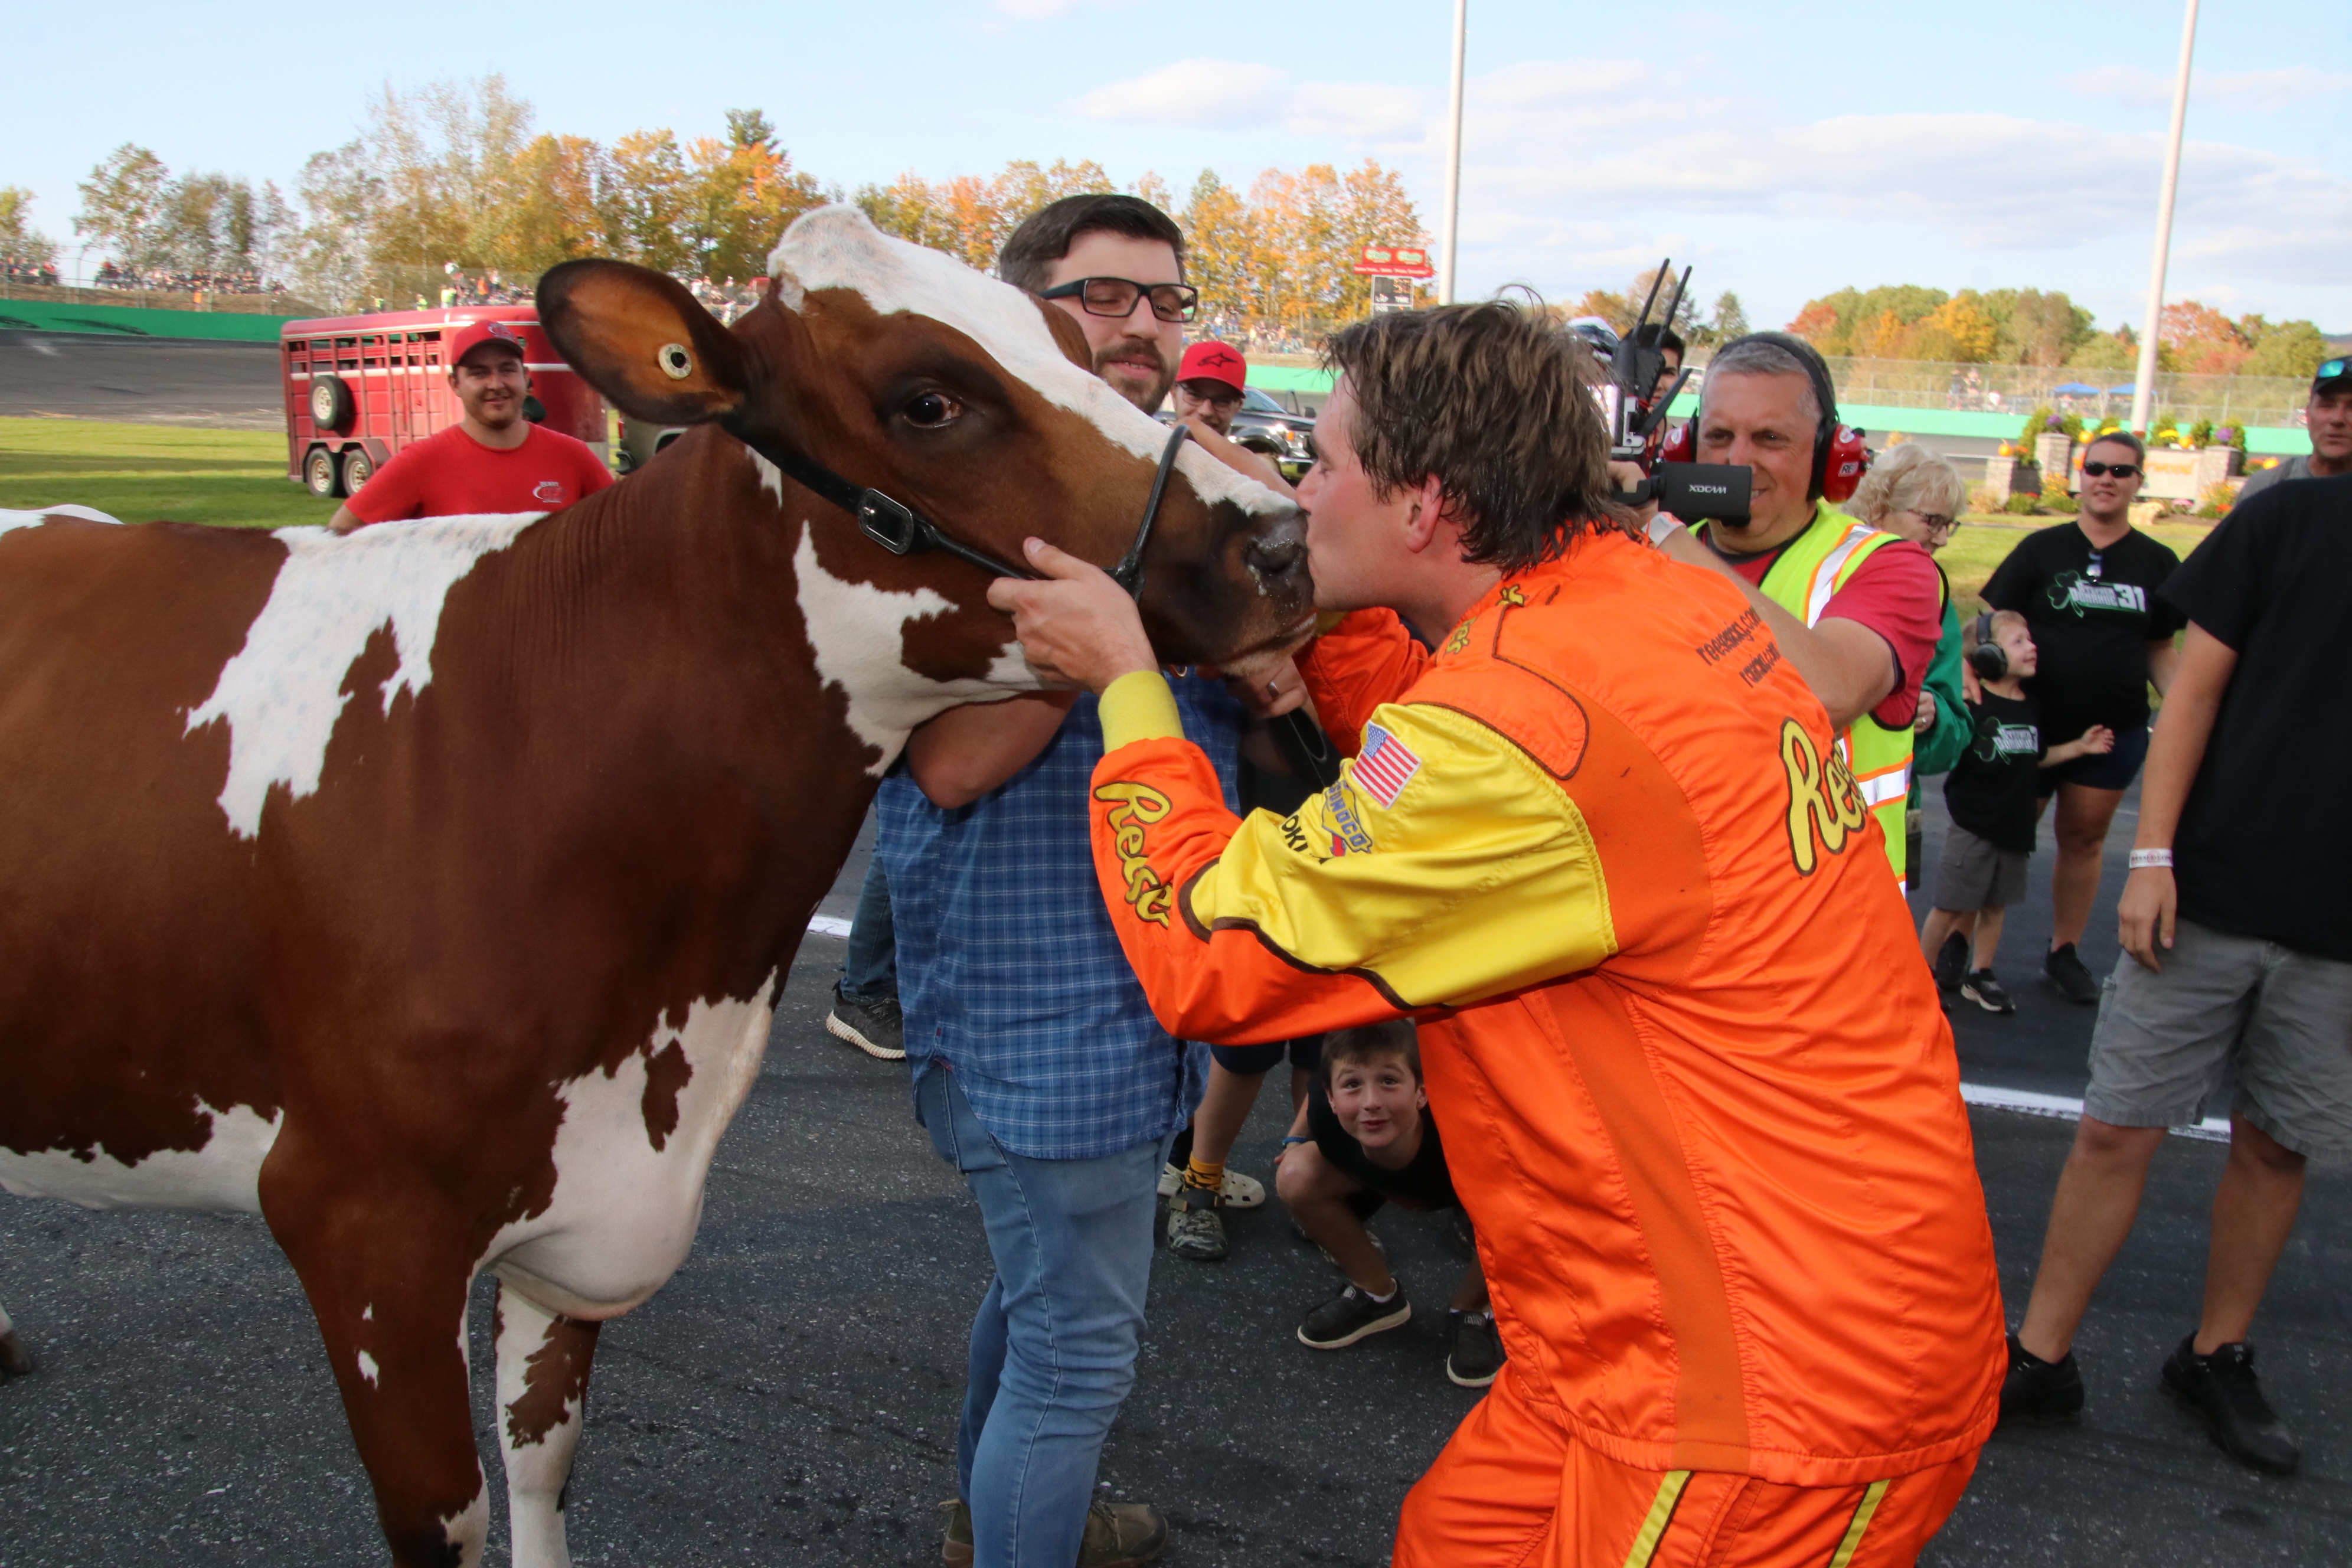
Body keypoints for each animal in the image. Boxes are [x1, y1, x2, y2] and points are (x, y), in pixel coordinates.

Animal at [0, 202, 1317, 1561]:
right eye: (928, 401)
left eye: (1070, 342)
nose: (1281, 541)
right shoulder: (361, 1229)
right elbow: (451, 1510)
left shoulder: (586, 1207)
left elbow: (543, 1454)